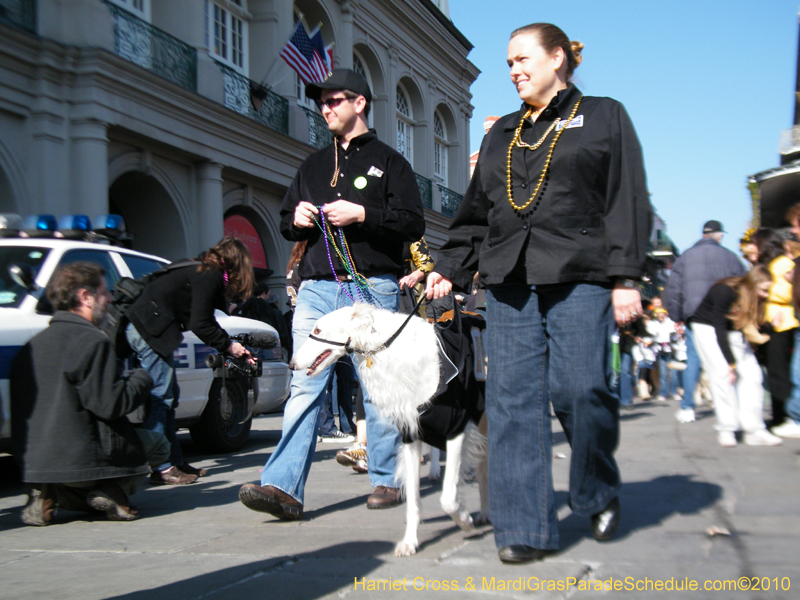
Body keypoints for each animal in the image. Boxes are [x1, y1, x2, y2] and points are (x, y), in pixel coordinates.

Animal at [290, 302, 488, 556]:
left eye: (318, 329)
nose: (291, 363)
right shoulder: (411, 433)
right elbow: (413, 499)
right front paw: (410, 543)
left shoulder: (457, 427)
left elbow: (448, 499)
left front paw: (465, 521)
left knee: (484, 470)